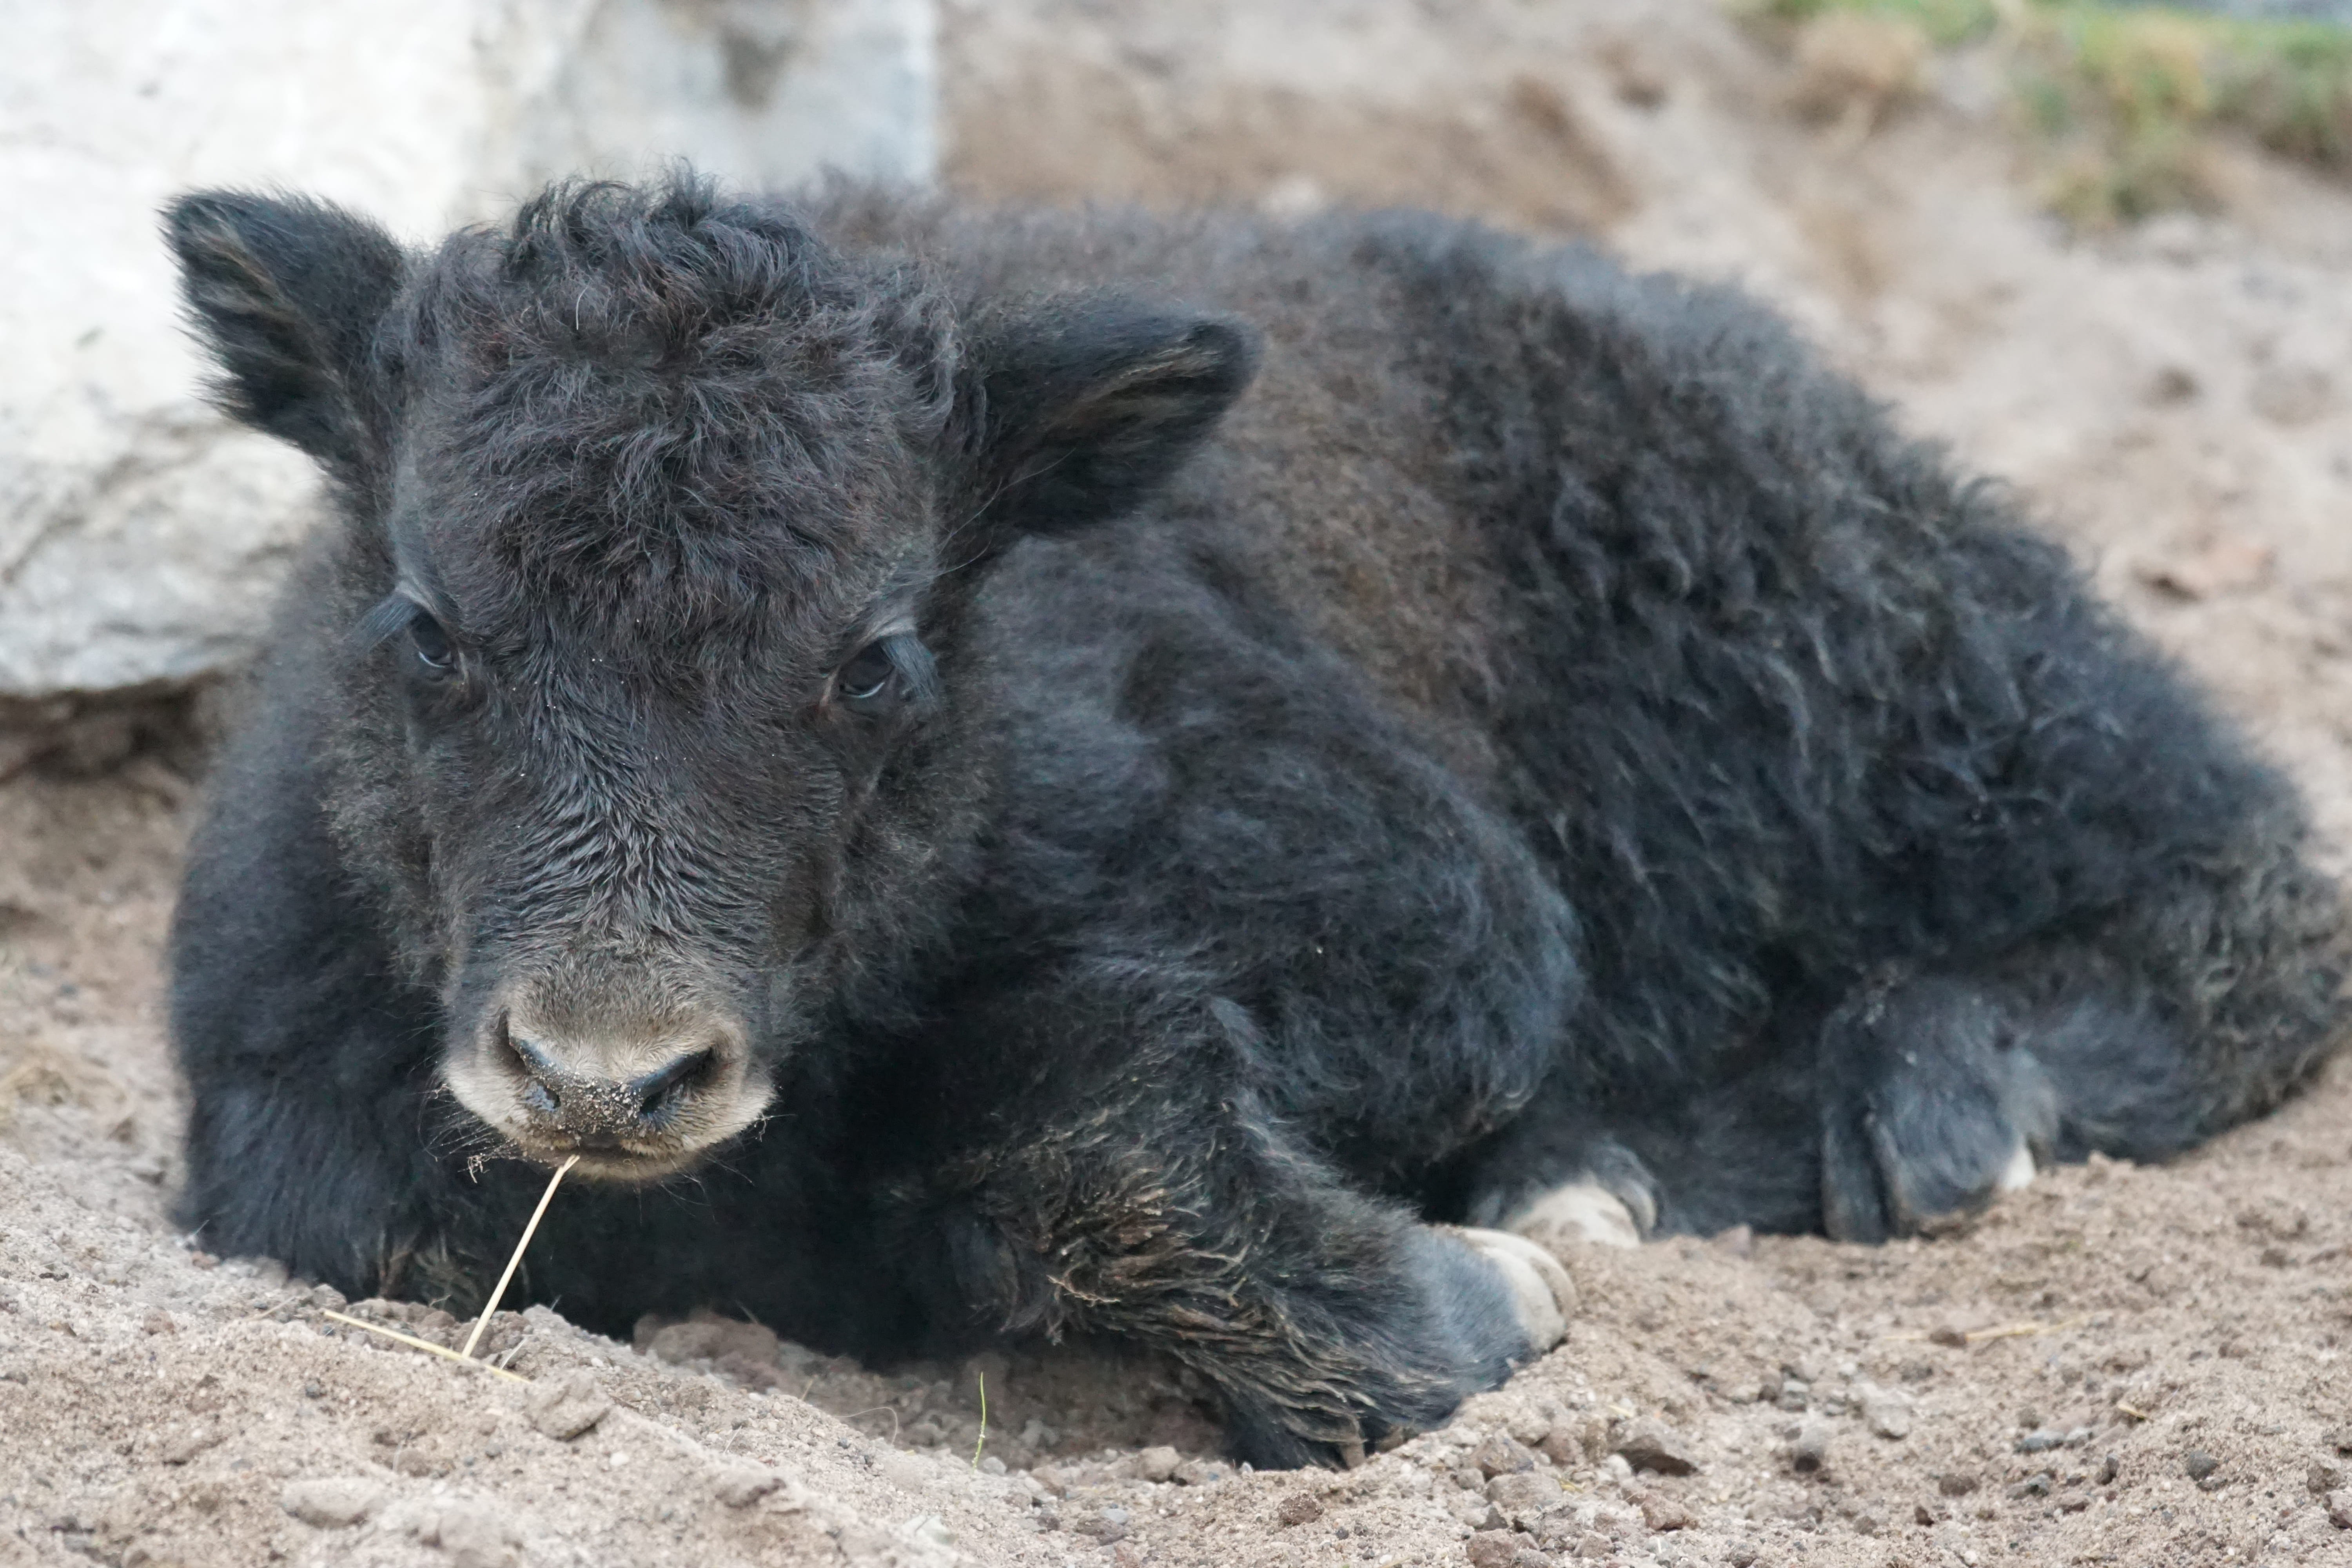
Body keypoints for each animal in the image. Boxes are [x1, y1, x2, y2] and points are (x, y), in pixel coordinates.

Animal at [163, 174, 2347, 1468]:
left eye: (875, 655)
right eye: (426, 620)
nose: (605, 1070)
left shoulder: (1431, 914)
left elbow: (1076, 1098)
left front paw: (1481, 1287)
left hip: (1876, 677)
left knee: (2228, 873)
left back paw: (1924, 1107)